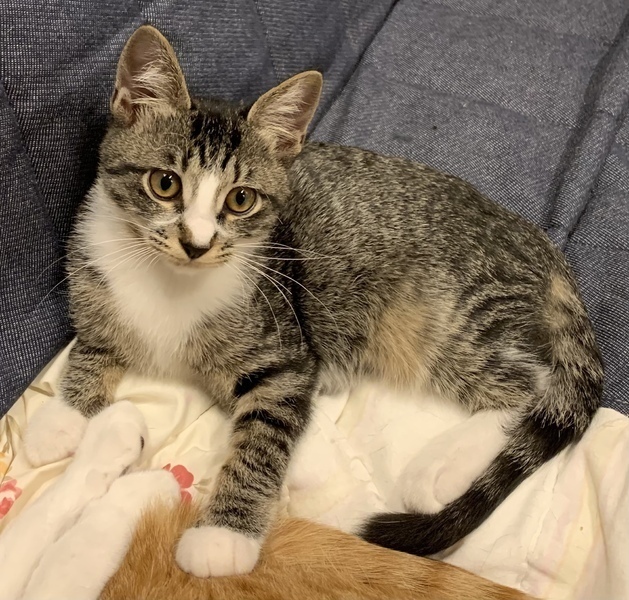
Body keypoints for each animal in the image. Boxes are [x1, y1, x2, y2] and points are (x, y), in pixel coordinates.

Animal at [24, 24, 603, 577]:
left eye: (240, 199)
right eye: (164, 184)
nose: (196, 243)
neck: (168, 279)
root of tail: (536, 238)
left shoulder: (286, 353)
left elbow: (265, 435)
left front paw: (224, 537)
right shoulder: (91, 265)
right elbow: (95, 338)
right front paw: (66, 415)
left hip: (445, 314)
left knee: (535, 385)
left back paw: (440, 467)